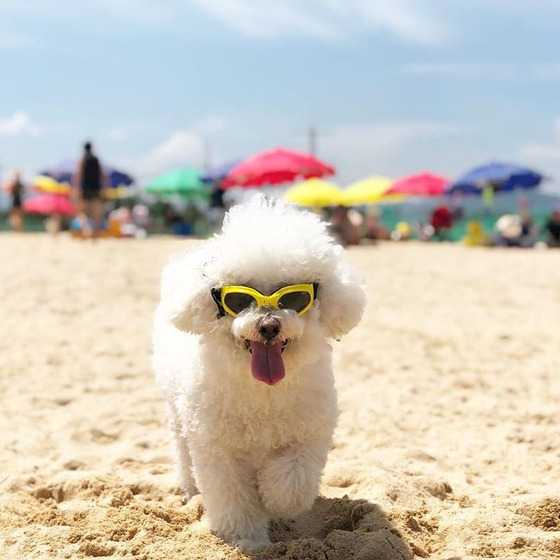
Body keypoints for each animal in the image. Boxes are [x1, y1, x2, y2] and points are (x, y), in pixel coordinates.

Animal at [151, 196, 366, 552]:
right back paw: (189, 490)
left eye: (295, 296)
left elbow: (293, 482)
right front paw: (248, 539)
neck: (263, 392)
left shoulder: (310, 431)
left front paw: (274, 499)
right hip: (177, 418)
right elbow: (234, 500)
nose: (268, 326)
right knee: (182, 454)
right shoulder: (217, 447)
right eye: (239, 298)